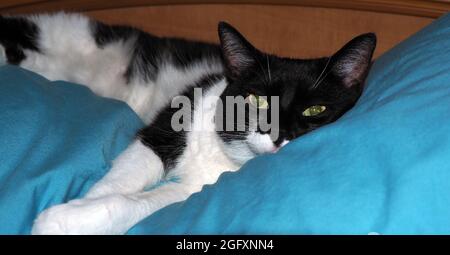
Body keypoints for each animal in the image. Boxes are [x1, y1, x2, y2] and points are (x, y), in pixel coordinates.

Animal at [0, 12, 376, 234]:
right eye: (256, 100)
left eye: (315, 110)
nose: (278, 135)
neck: (223, 154)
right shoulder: (166, 127)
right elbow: (122, 178)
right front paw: (77, 208)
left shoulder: (197, 189)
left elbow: (148, 202)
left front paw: (70, 218)